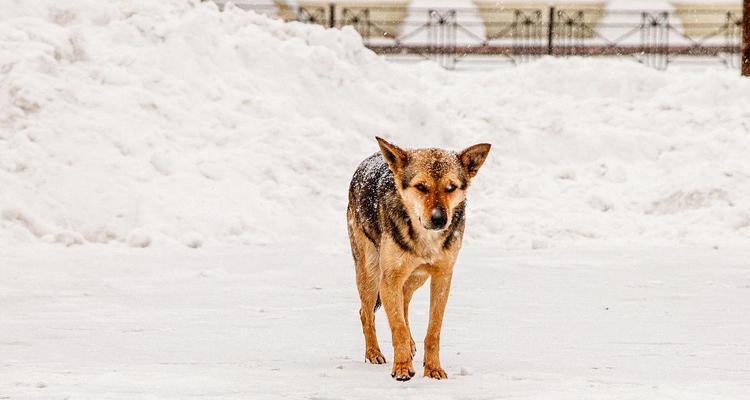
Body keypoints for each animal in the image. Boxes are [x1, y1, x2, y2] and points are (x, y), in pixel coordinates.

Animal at [348, 136, 494, 380]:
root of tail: (370, 158)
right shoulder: (390, 278)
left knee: (404, 302)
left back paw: (410, 344)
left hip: (417, 278)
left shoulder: (442, 277)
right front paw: (402, 368)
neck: (425, 239)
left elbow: (433, 330)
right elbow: (397, 327)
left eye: (451, 187)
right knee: (365, 312)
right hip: (370, 274)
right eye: (421, 187)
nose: (439, 219)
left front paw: (433, 369)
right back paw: (374, 353)